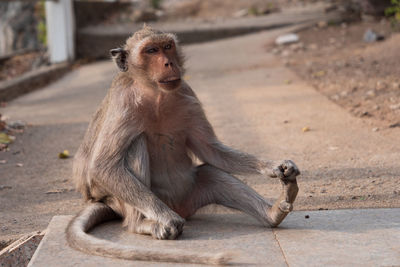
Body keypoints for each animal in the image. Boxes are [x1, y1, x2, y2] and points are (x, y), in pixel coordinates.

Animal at [65, 25, 298, 266]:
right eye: (151, 50)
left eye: (167, 46)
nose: (169, 63)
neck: (155, 95)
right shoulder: (124, 102)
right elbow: (103, 166)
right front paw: (166, 218)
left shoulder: (187, 94)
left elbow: (210, 150)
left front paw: (276, 167)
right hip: (119, 199)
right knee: (135, 143)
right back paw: (142, 223)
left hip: (190, 194)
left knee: (209, 174)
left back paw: (274, 212)